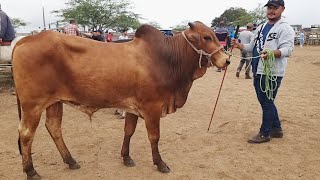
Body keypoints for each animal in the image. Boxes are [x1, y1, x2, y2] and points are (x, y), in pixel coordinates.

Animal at [11, 21, 229, 179]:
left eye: (215, 35)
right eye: (206, 37)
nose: (226, 60)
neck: (166, 59)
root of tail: (24, 40)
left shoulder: (133, 107)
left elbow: (128, 131)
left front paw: (126, 157)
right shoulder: (152, 108)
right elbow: (154, 137)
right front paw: (160, 163)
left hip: (54, 102)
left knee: (54, 127)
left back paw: (71, 161)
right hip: (33, 105)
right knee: (26, 134)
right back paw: (31, 171)